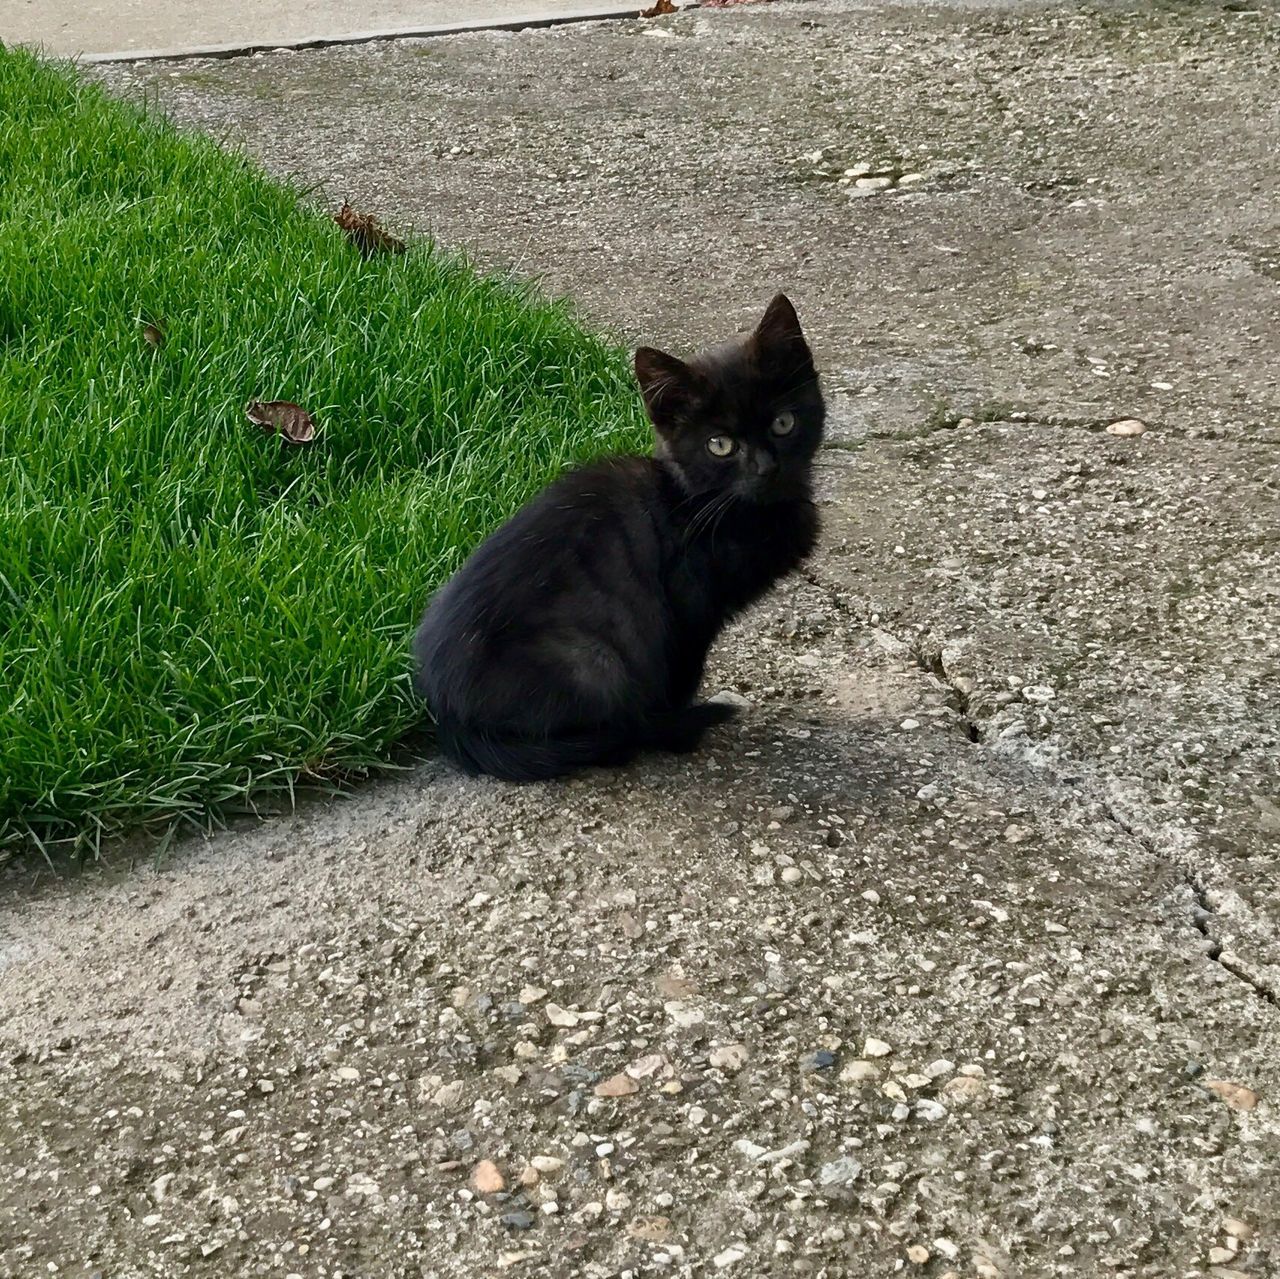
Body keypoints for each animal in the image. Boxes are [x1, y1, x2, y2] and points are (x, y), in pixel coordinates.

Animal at [414, 295, 824, 778]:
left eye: (783, 423)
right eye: (720, 445)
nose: (767, 468)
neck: (702, 503)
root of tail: (450, 720)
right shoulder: (688, 611)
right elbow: (680, 674)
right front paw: (680, 733)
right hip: (596, 660)